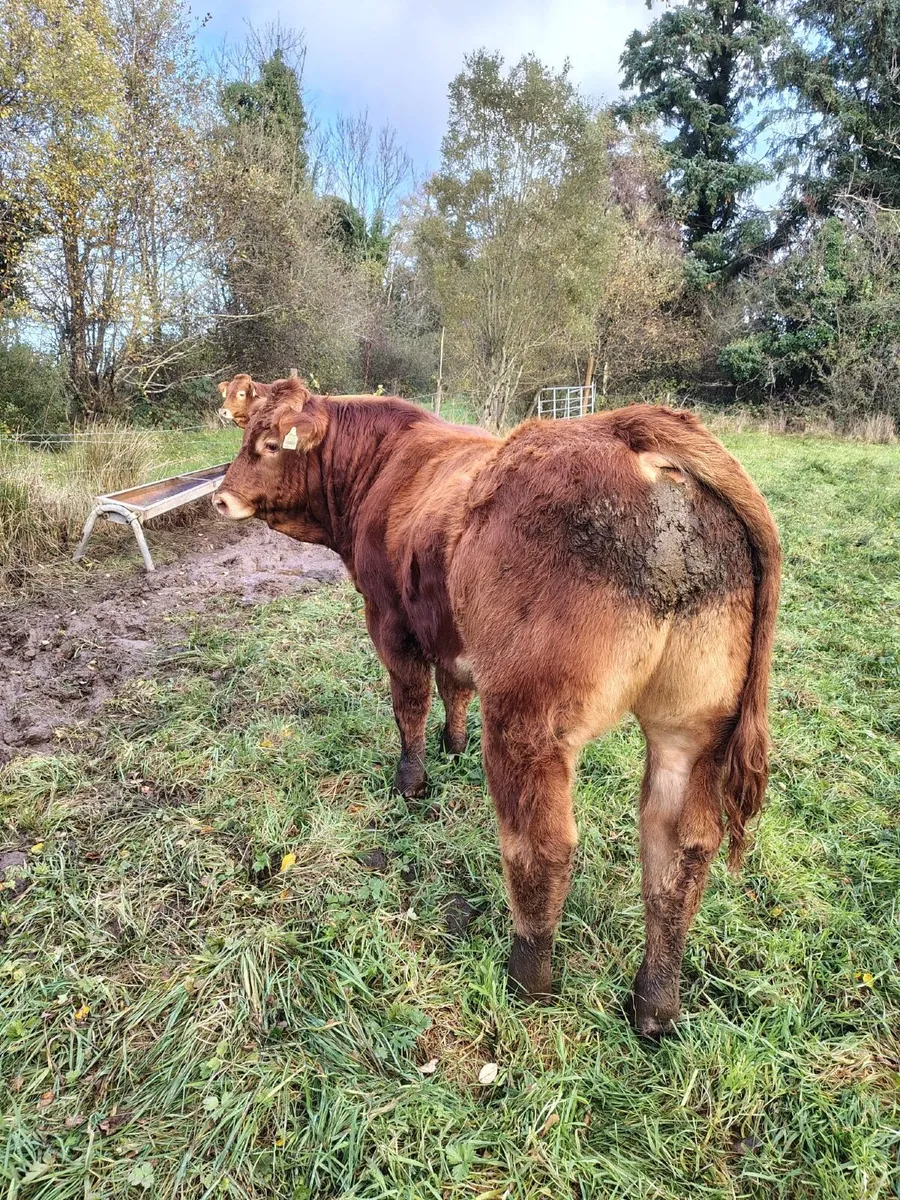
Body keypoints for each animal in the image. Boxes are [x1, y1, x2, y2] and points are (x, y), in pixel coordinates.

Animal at [213, 377, 781, 1037]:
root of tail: (628, 435)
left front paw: (412, 781)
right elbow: (453, 687)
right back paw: (655, 1003)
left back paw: (528, 976)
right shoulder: (449, 630)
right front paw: (452, 745)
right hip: (692, 728)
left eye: (268, 444)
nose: (221, 499)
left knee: (544, 845)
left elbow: (411, 703)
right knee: (679, 849)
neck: (386, 465)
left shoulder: (391, 620)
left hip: (527, 718)